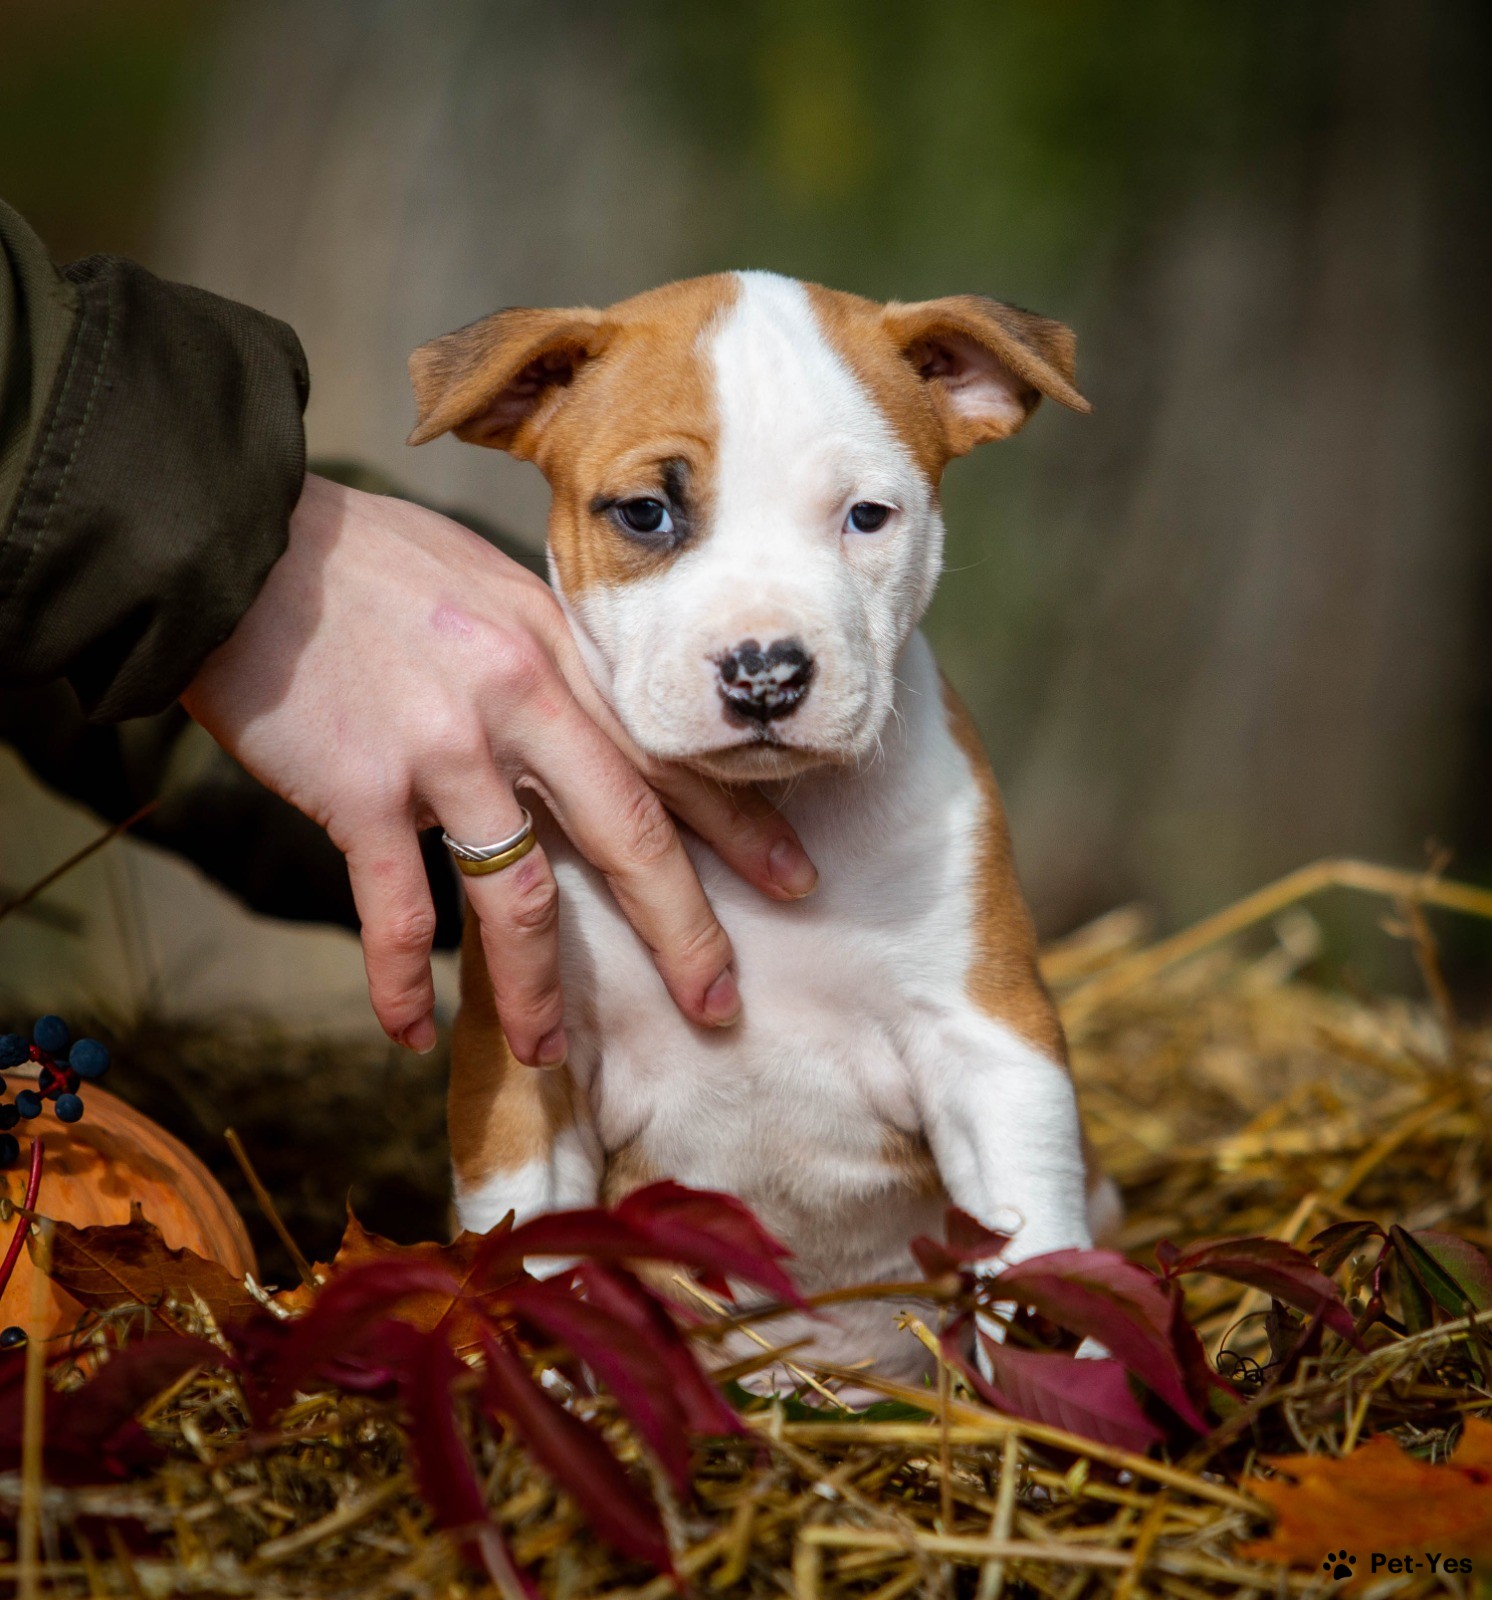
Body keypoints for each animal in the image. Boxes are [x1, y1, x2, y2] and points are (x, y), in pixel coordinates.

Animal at [408, 272, 1120, 1388]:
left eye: (867, 516)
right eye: (646, 513)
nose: (765, 673)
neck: (775, 808)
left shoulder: (990, 1044)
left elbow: (1033, 1234)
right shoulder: (524, 1064)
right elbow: (523, 1244)